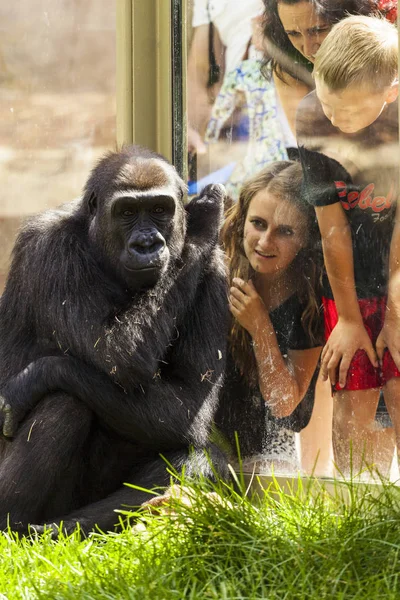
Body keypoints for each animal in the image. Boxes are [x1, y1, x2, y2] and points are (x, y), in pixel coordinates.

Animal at [0, 145, 228, 536]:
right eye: (127, 212)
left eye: (160, 209)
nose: (147, 244)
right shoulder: (50, 250)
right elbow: (117, 353)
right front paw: (201, 224)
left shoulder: (214, 271)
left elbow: (187, 405)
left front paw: (34, 377)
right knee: (64, 404)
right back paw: (15, 528)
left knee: (200, 460)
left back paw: (61, 529)